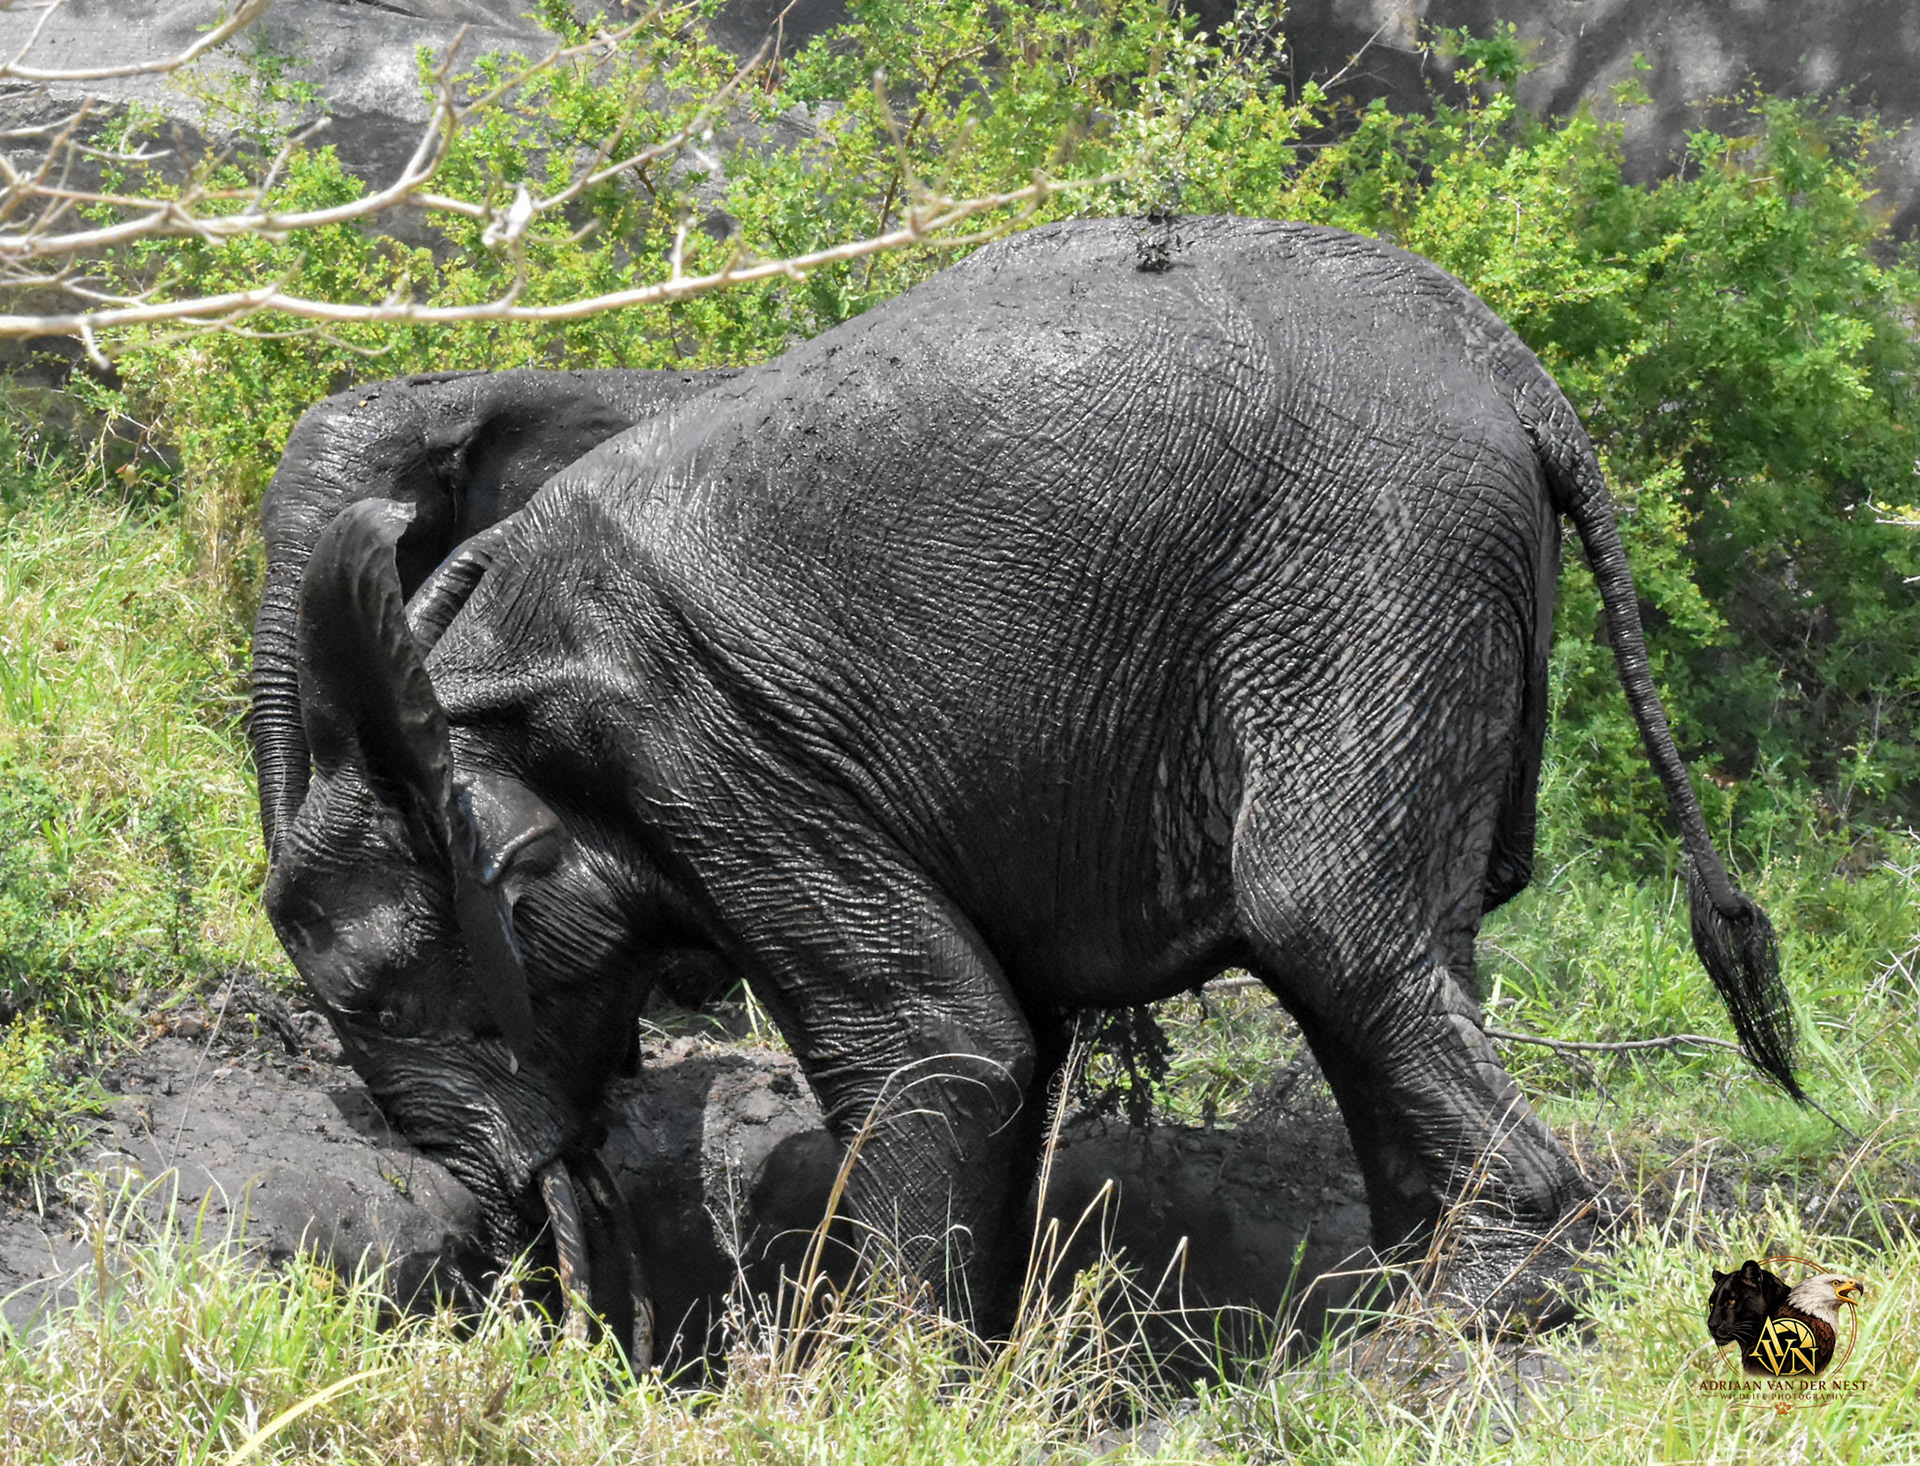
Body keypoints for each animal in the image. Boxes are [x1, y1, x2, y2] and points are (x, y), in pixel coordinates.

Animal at [258, 214, 1799, 1362]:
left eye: (377, 1002)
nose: (577, 1318)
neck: (478, 682)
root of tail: (1521, 380)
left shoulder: (715, 749)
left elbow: (937, 1038)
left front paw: (873, 1387)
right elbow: (1008, 1045)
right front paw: (972, 1367)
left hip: (1373, 561)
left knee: (1329, 923)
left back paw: (1448, 1325)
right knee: (1400, 956)